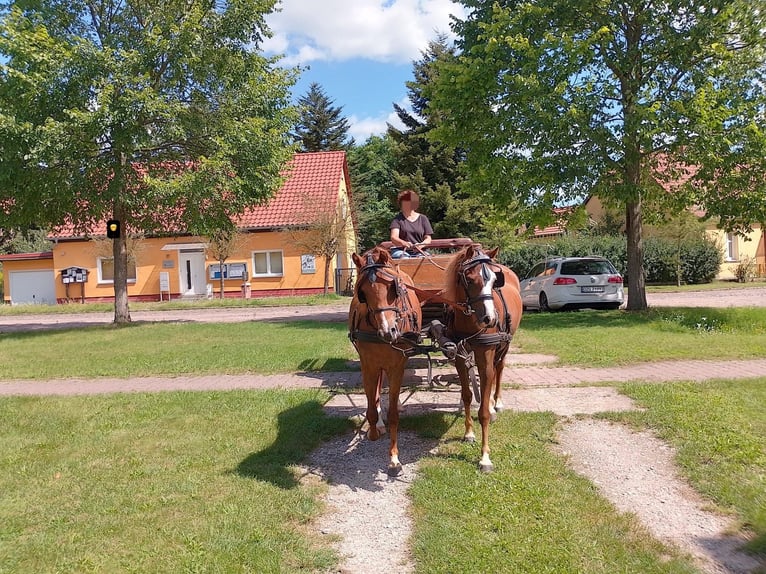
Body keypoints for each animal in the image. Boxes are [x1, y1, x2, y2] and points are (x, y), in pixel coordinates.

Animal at [350, 248, 424, 476]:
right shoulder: (368, 365)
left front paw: (394, 459)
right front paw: (374, 430)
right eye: (361, 293)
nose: (388, 331)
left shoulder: (397, 366)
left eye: (394, 288)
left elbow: (393, 414)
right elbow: (371, 407)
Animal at [444, 245, 520, 474]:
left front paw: (485, 457)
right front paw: (469, 433)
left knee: (498, 370)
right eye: (469, 279)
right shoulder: (460, 358)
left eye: (495, 281)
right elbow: (467, 395)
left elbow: (484, 410)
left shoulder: (485, 355)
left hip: (504, 346)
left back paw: (497, 403)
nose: (490, 319)